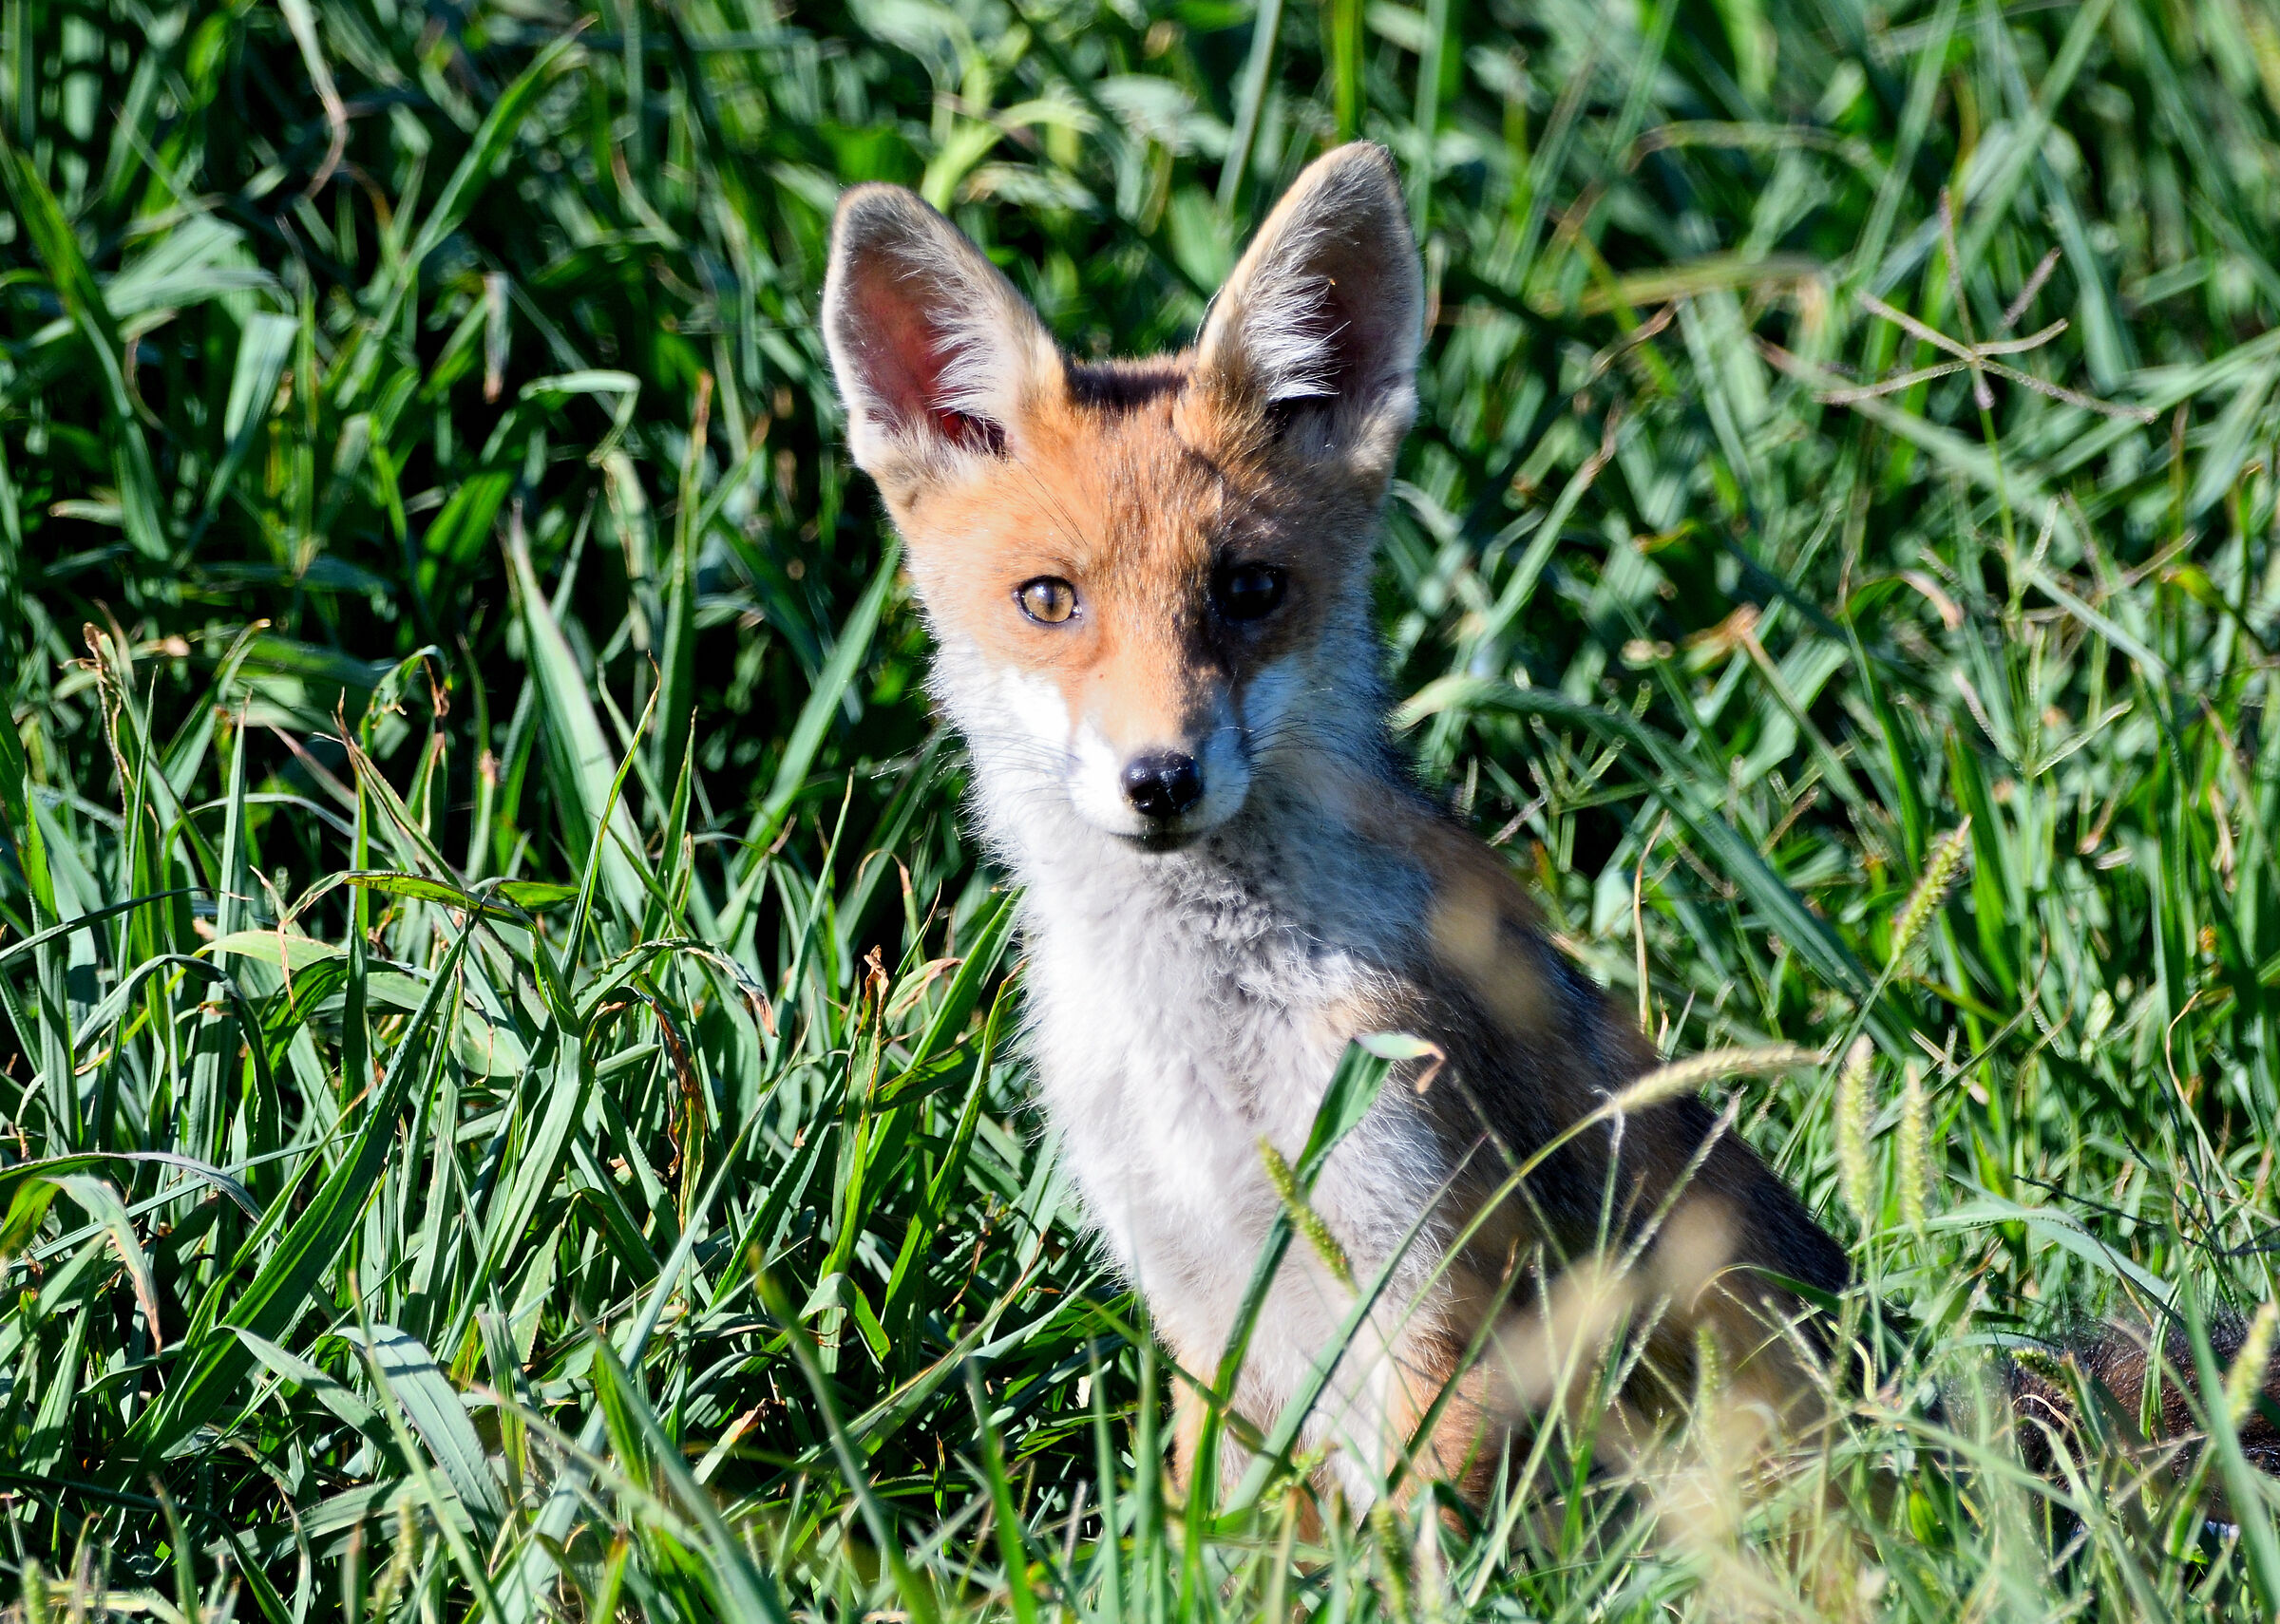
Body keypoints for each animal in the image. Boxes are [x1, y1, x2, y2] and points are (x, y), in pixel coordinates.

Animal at [819, 143, 2273, 1513]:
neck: (1206, 1043)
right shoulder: (1202, 1308)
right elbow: (1210, 1539)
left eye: (1248, 591)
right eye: (1049, 599)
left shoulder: (1436, 1280)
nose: (1160, 778)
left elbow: (1422, 1549)